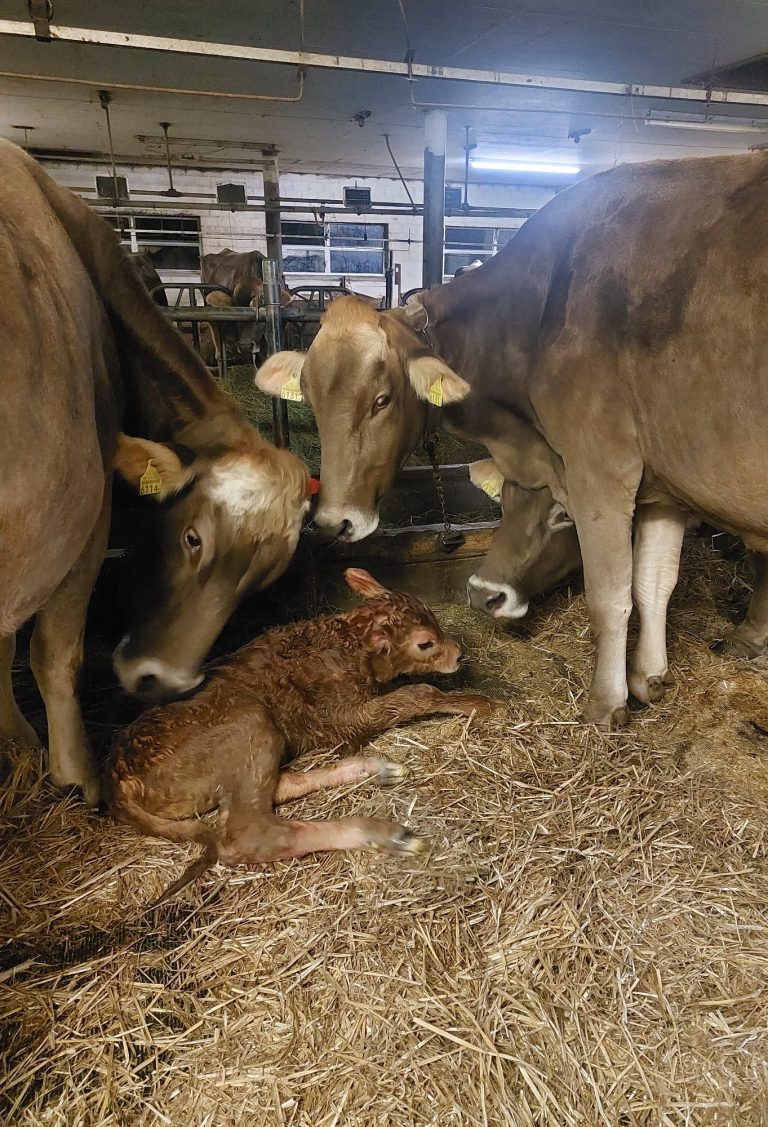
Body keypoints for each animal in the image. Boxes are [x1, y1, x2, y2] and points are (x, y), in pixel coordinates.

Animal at [0, 140, 310, 805]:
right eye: (191, 537)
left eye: (260, 581)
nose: (158, 681)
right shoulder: (85, 515)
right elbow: (53, 651)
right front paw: (72, 774)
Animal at [106, 567, 494, 903]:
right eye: (425, 643)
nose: (460, 655)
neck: (348, 644)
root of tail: (119, 781)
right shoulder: (342, 716)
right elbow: (416, 693)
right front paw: (479, 703)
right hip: (249, 721)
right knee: (248, 831)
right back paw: (383, 833)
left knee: (275, 787)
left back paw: (373, 769)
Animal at [254, 152, 768, 728]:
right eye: (311, 398)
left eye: (382, 399)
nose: (333, 522)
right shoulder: (661, 485)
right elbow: (654, 581)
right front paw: (648, 679)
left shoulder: (600, 470)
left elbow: (610, 591)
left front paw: (606, 704)